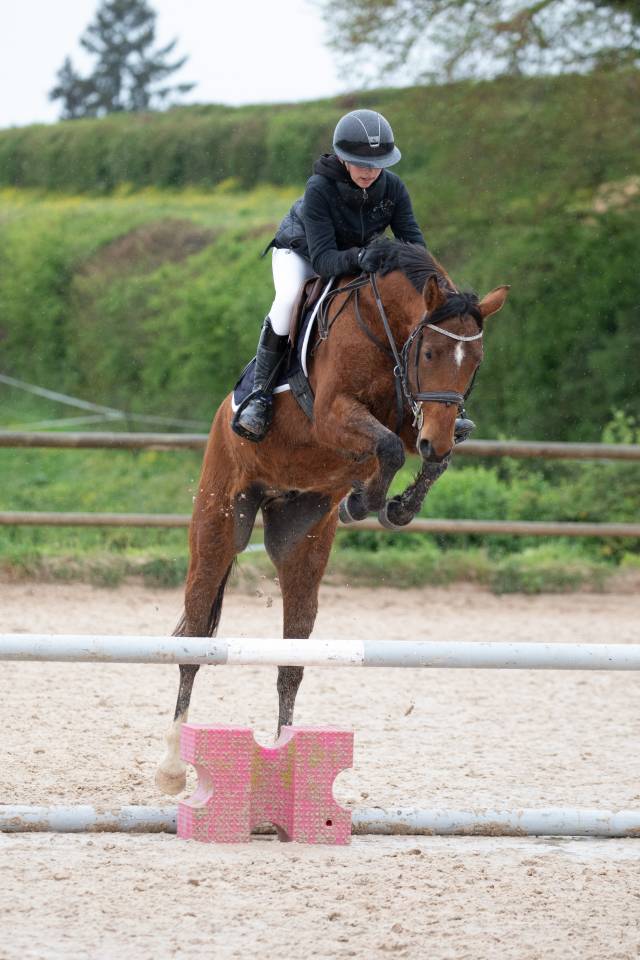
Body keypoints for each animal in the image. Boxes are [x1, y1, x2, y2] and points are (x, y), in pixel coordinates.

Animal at [155, 237, 509, 795]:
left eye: (474, 362)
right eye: (430, 353)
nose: (438, 435)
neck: (386, 333)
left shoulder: (420, 421)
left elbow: (422, 457)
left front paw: (395, 505)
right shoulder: (332, 415)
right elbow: (388, 447)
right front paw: (366, 501)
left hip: (301, 542)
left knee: (291, 662)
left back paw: (283, 767)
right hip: (218, 523)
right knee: (194, 638)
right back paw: (171, 768)